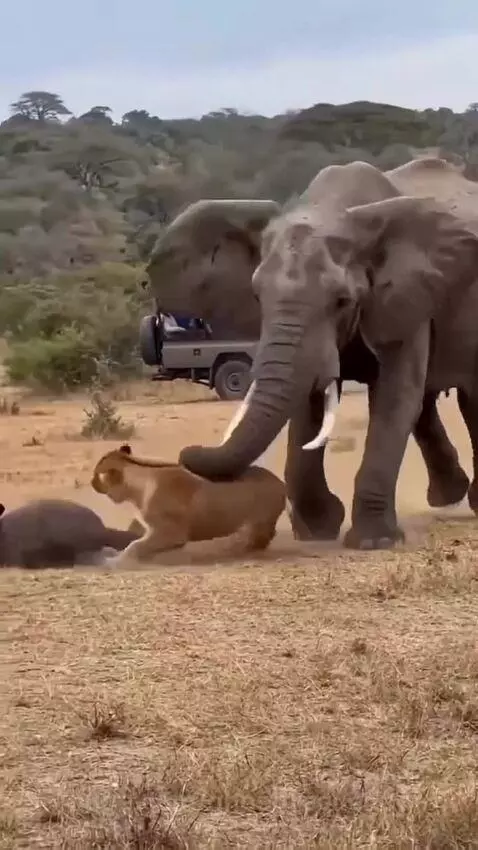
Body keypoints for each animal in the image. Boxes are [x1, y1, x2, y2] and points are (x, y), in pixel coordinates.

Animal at [91, 444, 286, 567]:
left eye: (96, 475)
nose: (92, 483)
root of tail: (281, 483)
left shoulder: (170, 532)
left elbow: (134, 546)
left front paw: (112, 561)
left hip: (256, 524)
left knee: (258, 539)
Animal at [146, 157, 478, 549]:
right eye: (257, 296)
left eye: (342, 300)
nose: (187, 452)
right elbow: (309, 403)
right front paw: (318, 530)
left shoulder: (404, 295)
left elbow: (394, 398)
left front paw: (373, 542)